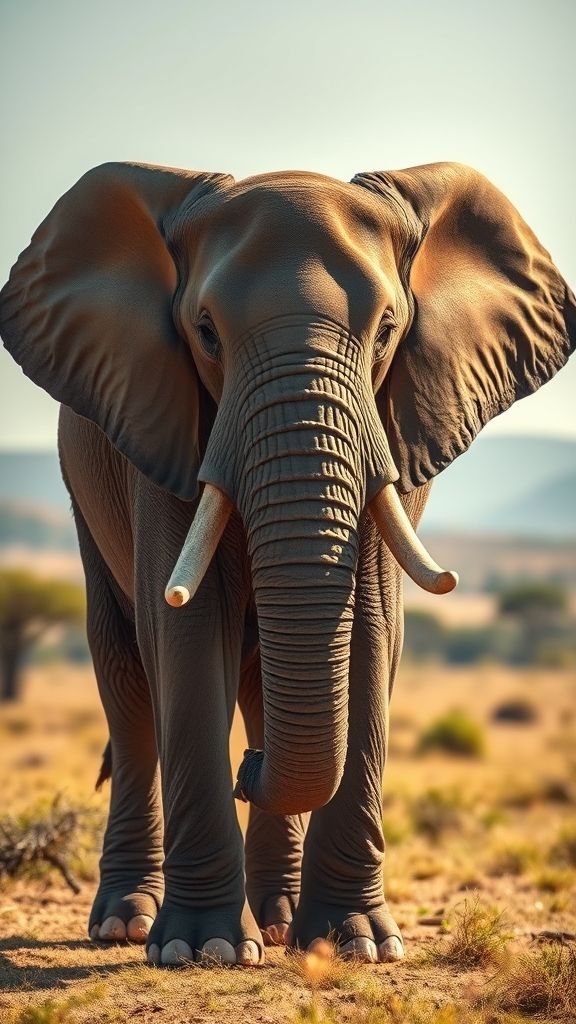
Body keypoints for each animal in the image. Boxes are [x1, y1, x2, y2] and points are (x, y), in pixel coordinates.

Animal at [0, 161, 574, 967]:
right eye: (206, 332)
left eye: (388, 330)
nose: (248, 772)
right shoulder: (163, 421)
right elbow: (183, 634)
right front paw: (202, 950)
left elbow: (372, 628)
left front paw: (358, 944)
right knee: (128, 680)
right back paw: (127, 924)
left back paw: (278, 919)